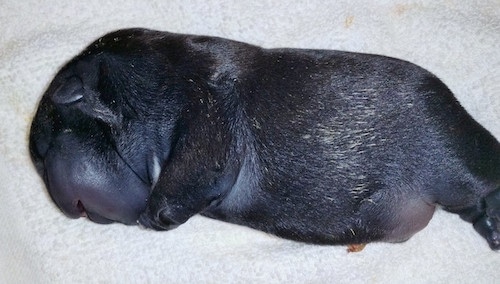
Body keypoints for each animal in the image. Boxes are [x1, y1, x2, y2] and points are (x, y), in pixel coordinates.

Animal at [30, 28, 500, 251]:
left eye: (42, 149)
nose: (61, 202)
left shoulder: (209, 108)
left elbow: (194, 166)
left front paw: (155, 214)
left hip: (453, 155)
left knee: (483, 182)